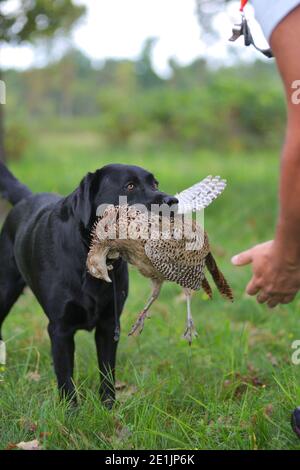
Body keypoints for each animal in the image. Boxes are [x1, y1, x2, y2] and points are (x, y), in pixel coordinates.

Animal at [0, 162, 178, 404]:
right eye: (130, 186)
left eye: (155, 183)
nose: (173, 201)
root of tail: (26, 198)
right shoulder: (60, 328)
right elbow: (65, 377)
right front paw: (71, 410)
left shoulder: (109, 324)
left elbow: (108, 372)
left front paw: (109, 407)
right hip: (4, 290)